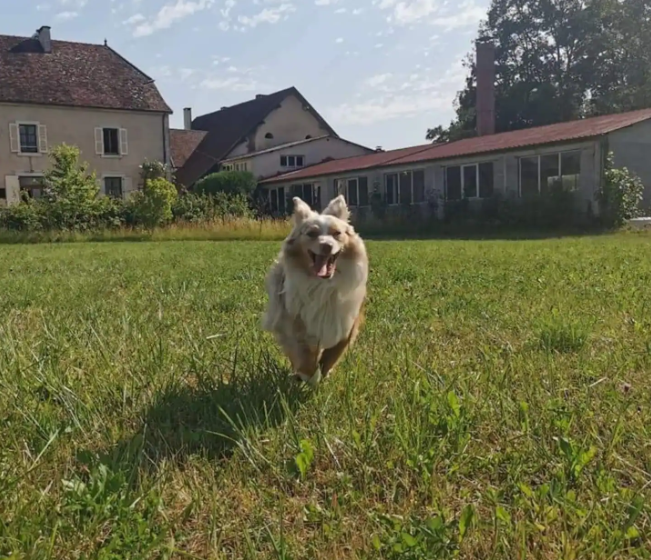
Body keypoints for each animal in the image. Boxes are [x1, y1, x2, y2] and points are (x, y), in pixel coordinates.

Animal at [262, 194, 370, 384]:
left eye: (337, 233)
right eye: (311, 233)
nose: (326, 245)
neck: (323, 284)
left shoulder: (346, 321)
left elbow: (332, 354)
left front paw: (323, 372)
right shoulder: (296, 322)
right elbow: (305, 355)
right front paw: (310, 377)